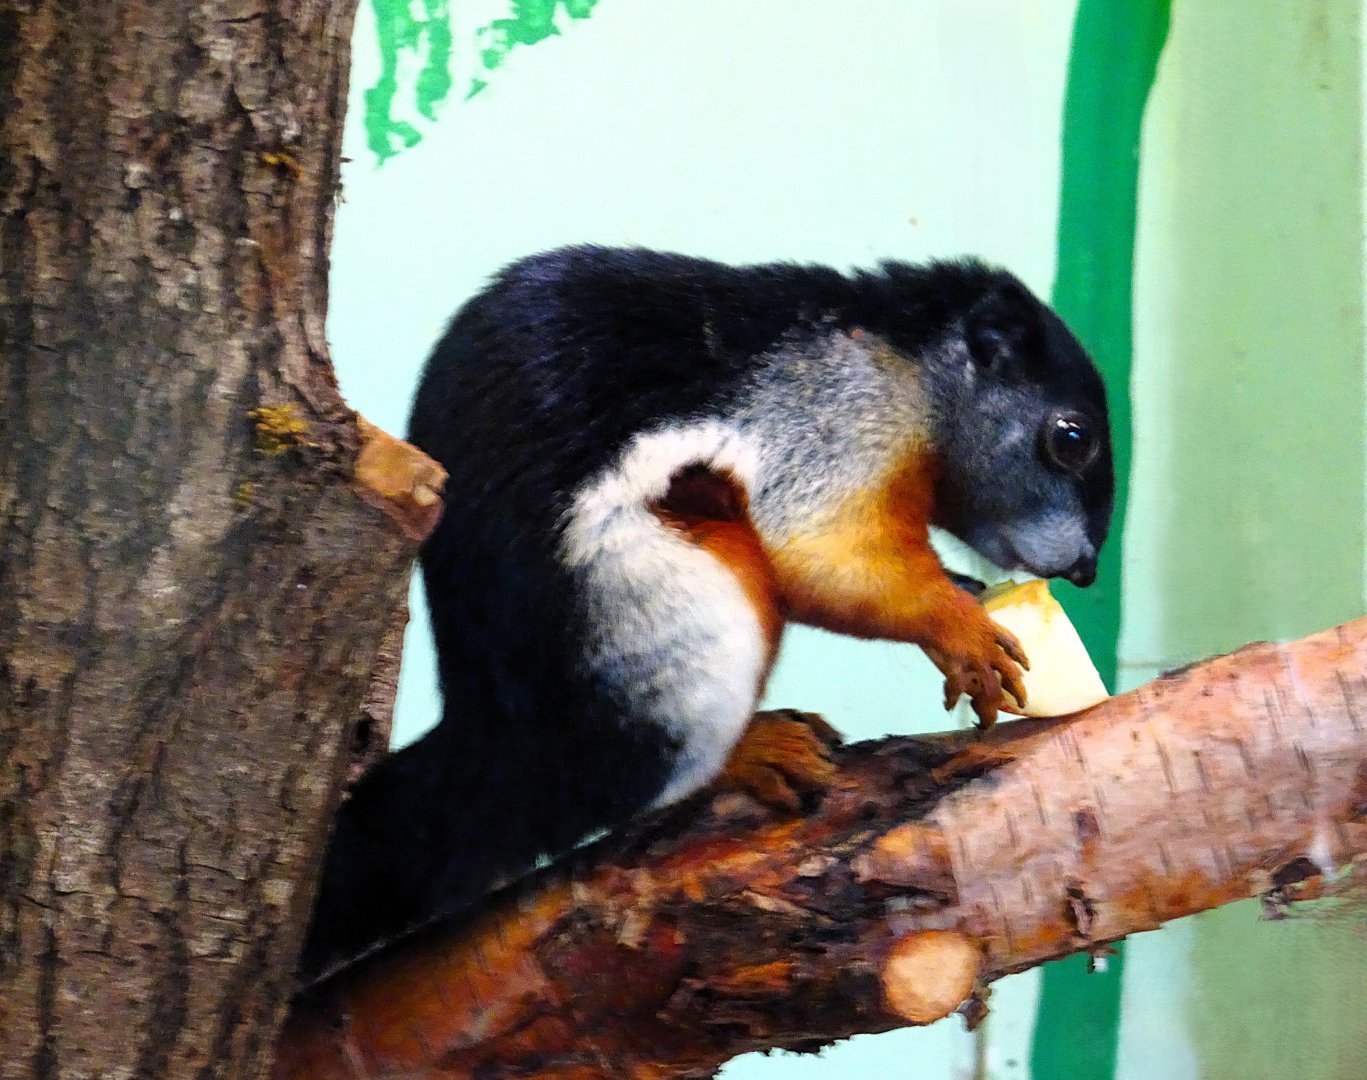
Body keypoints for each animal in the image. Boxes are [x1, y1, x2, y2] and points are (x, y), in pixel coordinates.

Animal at [298, 245, 1114, 984]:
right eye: (1069, 438)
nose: (1085, 569)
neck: (910, 367)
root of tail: (510, 742)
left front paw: (965, 595)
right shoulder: (834, 424)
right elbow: (827, 553)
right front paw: (960, 629)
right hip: (682, 622)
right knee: (643, 785)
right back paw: (748, 755)